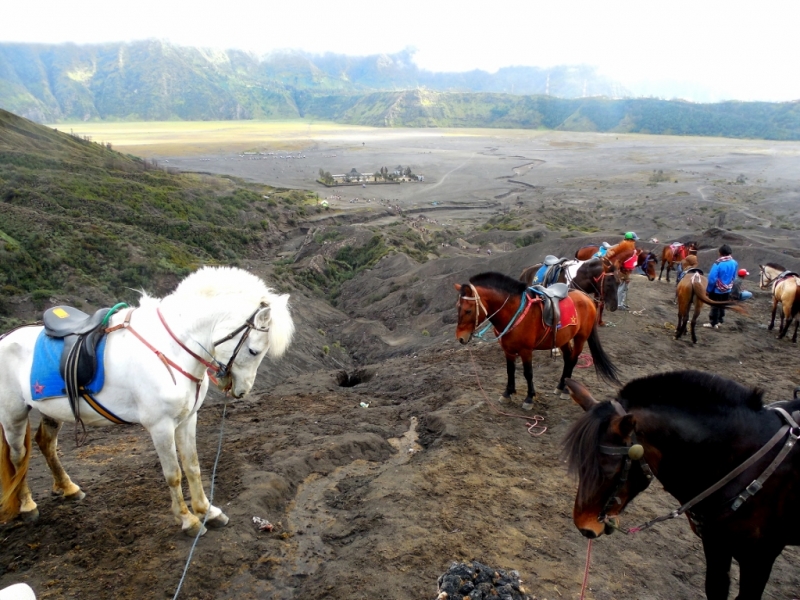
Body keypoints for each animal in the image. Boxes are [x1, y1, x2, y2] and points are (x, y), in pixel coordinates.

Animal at [0, 266, 294, 536]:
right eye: (253, 350)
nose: (241, 392)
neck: (170, 349)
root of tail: (6, 336)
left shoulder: (188, 420)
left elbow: (193, 466)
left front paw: (207, 511)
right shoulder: (161, 427)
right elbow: (174, 474)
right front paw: (188, 520)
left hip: (50, 411)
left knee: (46, 445)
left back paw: (69, 488)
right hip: (14, 416)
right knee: (18, 457)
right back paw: (27, 506)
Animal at [456, 270, 620, 408]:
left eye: (468, 310)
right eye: (458, 307)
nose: (460, 338)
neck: (514, 311)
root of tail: (587, 298)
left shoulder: (526, 350)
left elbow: (528, 373)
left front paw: (529, 398)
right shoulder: (507, 350)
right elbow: (510, 371)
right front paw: (508, 393)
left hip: (580, 337)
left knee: (573, 360)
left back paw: (566, 391)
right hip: (563, 339)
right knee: (568, 358)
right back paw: (561, 386)